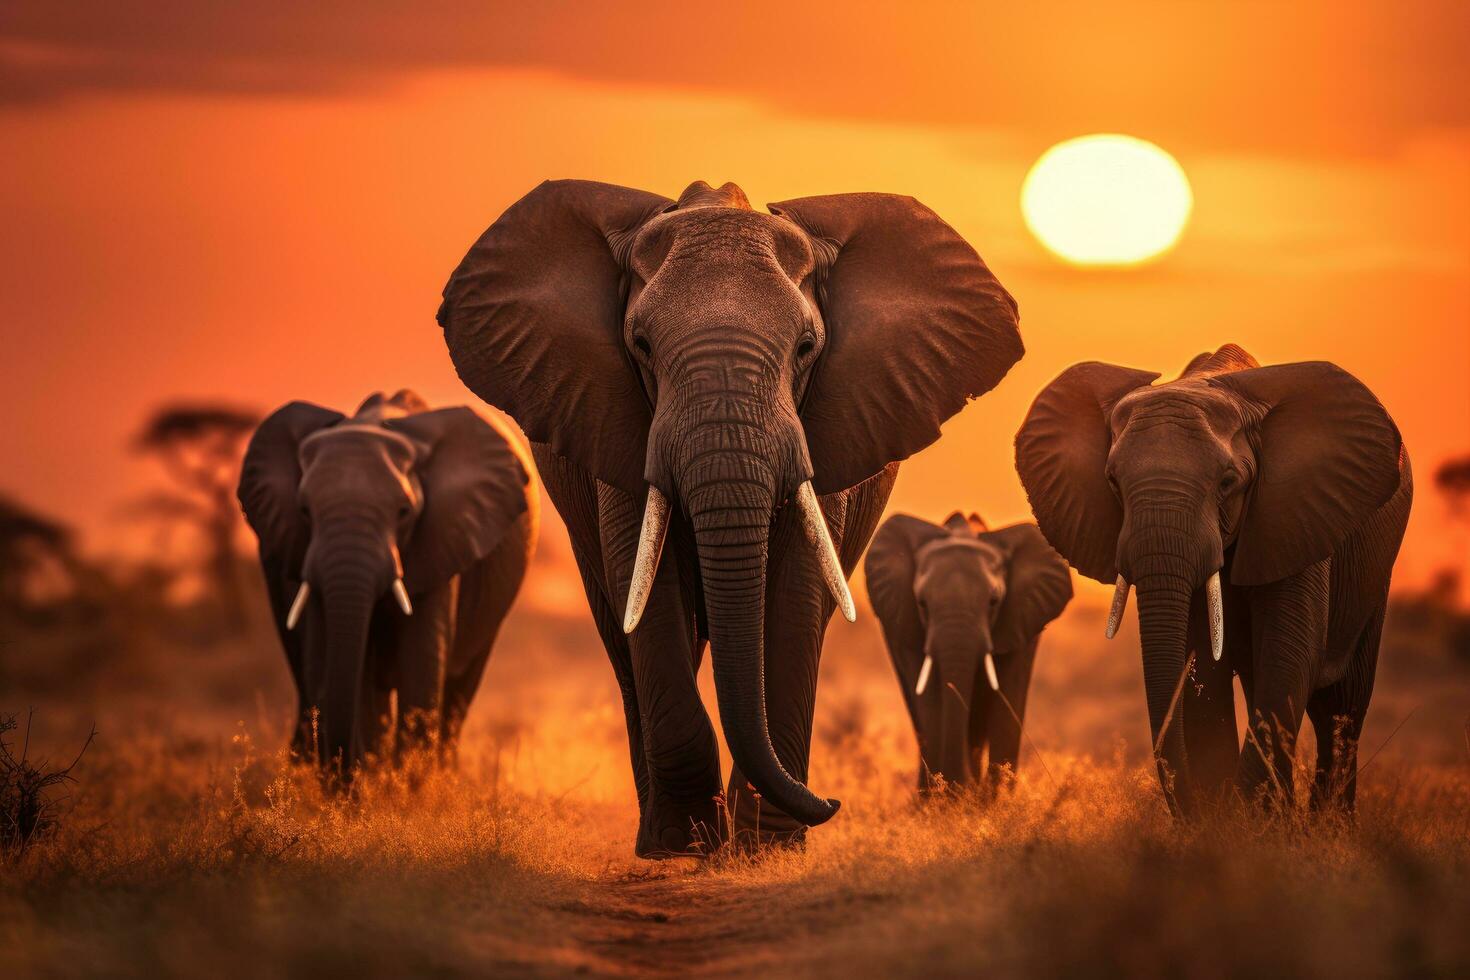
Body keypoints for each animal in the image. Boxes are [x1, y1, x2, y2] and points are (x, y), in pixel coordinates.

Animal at [238, 390, 538, 775]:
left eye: (404, 513)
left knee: (459, 687)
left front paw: (406, 785)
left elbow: (422, 662)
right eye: (304, 510)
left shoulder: (442, 538)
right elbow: (330, 657)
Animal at [435, 179, 1023, 852]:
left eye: (806, 348)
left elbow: (796, 594)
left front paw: (767, 844)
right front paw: (687, 842)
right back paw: (659, 837)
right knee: (622, 634)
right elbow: (648, 591)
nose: (833, 802)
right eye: (641, 346)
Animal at [864, 511, 1076, 793]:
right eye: (922, 603)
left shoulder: (1021, 623)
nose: (961, 787)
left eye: (993, 602)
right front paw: (949, 799)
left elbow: (1007, 698)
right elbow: (931, 701)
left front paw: (994, 800)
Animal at [1011, 343, 1411, 811]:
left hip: (1374, 575)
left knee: (1340, 706)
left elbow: (1290, 654)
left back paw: (1328, 823)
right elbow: (1203, 664)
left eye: (1227, 482)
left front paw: (1246, 818)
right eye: (1112, 481)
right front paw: (1227, 818)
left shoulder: (1300, 515)